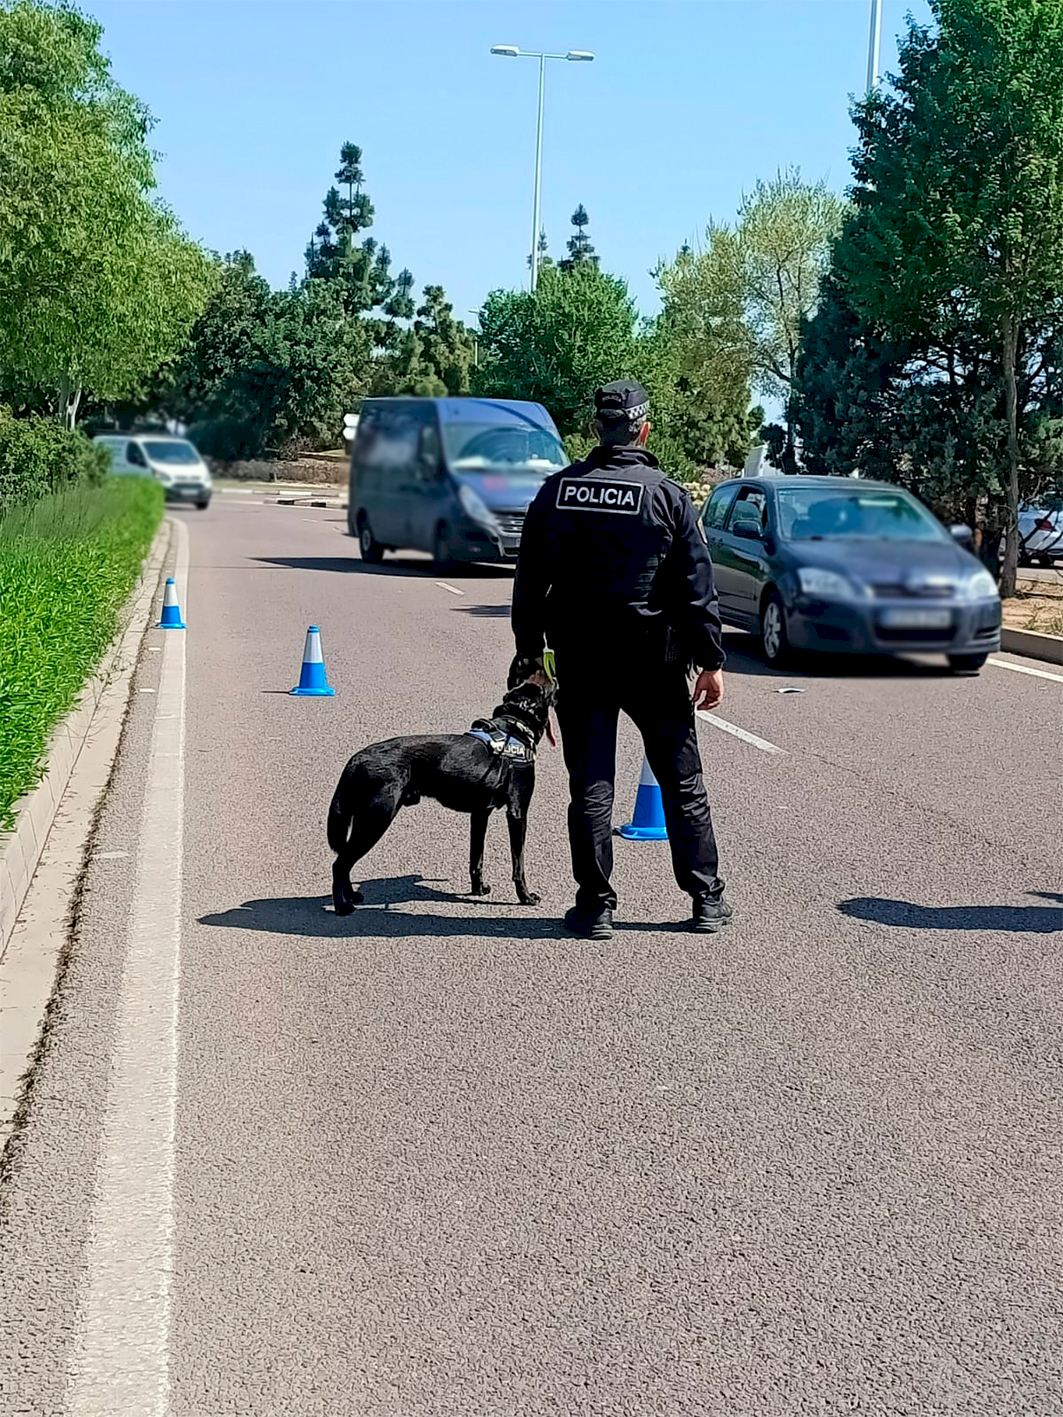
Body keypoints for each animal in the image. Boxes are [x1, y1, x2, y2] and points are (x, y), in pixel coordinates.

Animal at [328, 678, 557, 916]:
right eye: (542, 689)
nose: (553, 678)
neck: (514, 728)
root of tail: (356, 759)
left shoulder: (480, 814)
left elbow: (476, 859)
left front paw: (478, 889)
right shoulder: (517, 813)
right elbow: (518, 865)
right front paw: (525, 897)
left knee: (344, 861)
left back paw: (351, 896)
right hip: (375, 820)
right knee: (340, 864)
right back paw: (342, 906)